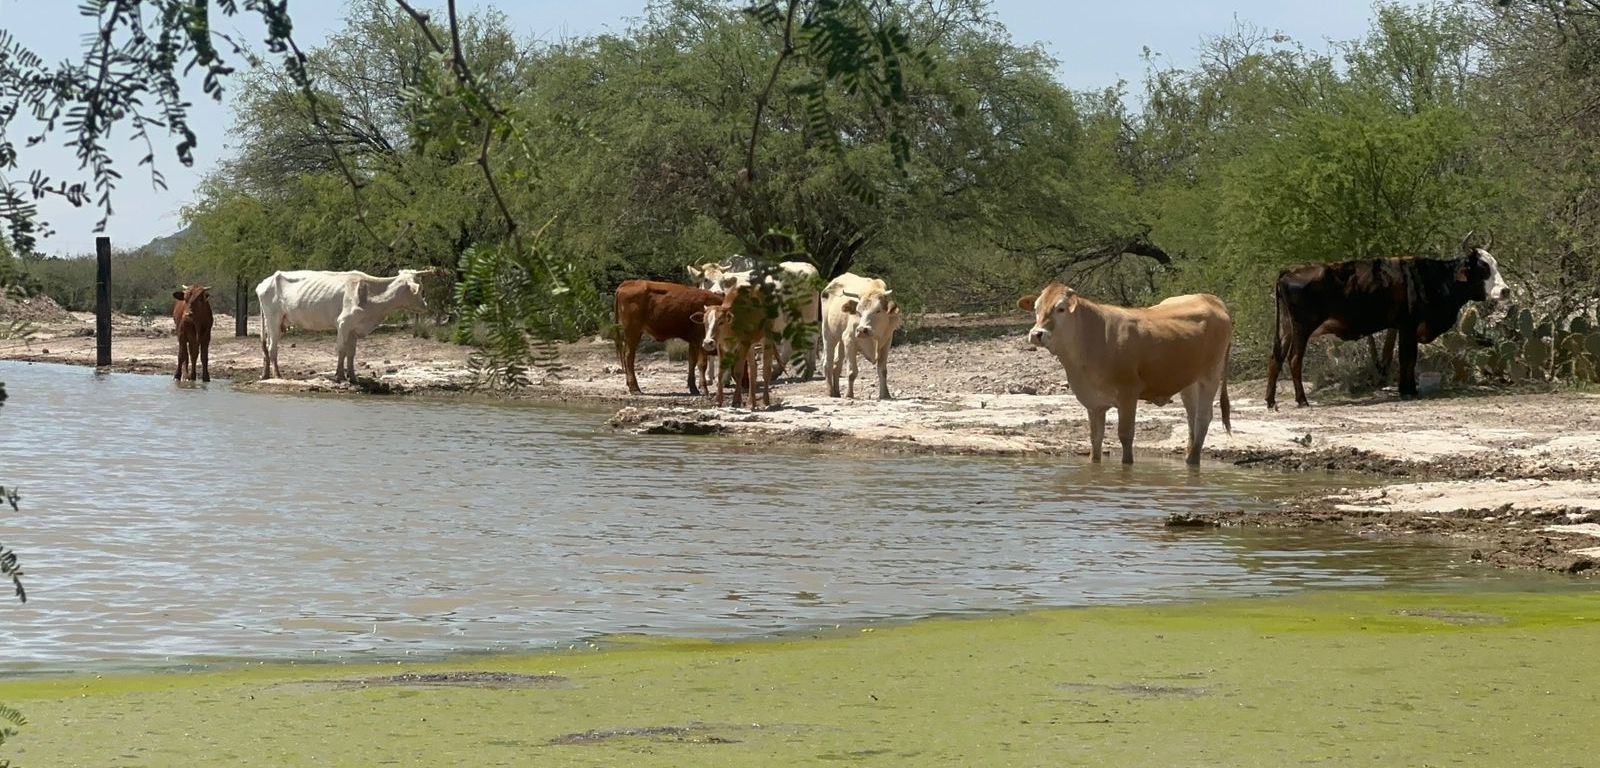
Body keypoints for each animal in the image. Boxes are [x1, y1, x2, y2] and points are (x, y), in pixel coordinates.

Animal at [256, 269, 431, 382]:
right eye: (420, 289)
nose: (425, 305)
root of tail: (264, 282)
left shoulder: (354, 328)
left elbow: (351, 353)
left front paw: (352, 377)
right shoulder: (343, 323)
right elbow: (341, 350)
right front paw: (339, 376)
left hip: (276, 322)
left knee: (267, 347)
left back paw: (265, 374)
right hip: (273, 319)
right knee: (272, 348)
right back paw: (277, 375)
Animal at [687, 259, 821, 379]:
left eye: (723, 280)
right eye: (706, 279)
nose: (718, 292)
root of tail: (808, 266)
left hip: (808, 313)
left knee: (812, 337)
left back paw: (808, 372)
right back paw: (777, 372)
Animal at [1019, 284, 1233, 465]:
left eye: (1061, 308)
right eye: (1036, 308)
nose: (1036, 334)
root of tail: (1209, 298)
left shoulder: (1128, 393)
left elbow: (1125, 435)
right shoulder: (1093, 403)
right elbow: (1095, 440)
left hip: (1211, 375)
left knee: (1203, 417)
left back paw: (1193, 460)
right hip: (1188, 381)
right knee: (1191, 418)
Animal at [1266, 235, 1511, 409]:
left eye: (1495, 264)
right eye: (1482, 268)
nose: (1505, 291)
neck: (1431, 278)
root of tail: (1290, 270)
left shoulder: (1403, 328)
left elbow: (1408, 357)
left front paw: (1410, 388)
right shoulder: (1408, 326)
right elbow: (1407, 358)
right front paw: (1407, 390)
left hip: (1286, 329)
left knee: (1276, 358)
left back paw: (1270, 401)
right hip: (1301, 329)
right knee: (1294, 359)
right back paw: (1302, 400)